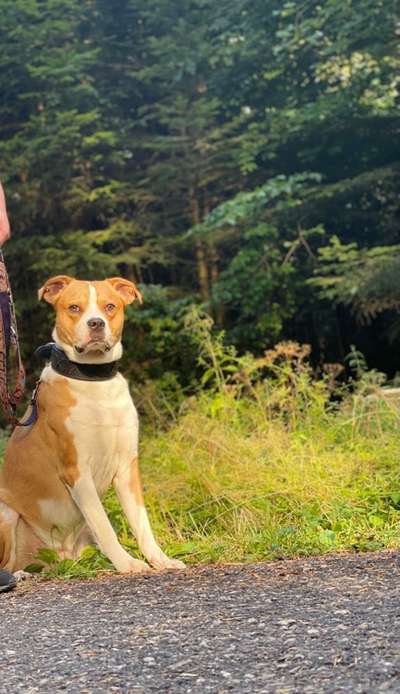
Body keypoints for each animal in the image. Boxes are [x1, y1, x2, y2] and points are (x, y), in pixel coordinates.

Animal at [0, 278, 184, 576]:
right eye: (74, 307)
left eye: (110, 306)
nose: (96, 323)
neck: (94, 381)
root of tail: (60, 555)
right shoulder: (76, 471)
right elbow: (105, 526)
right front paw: (128, 563)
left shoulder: (126, 467)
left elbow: (141, 523)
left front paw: (160, 559)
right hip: (5, 512)